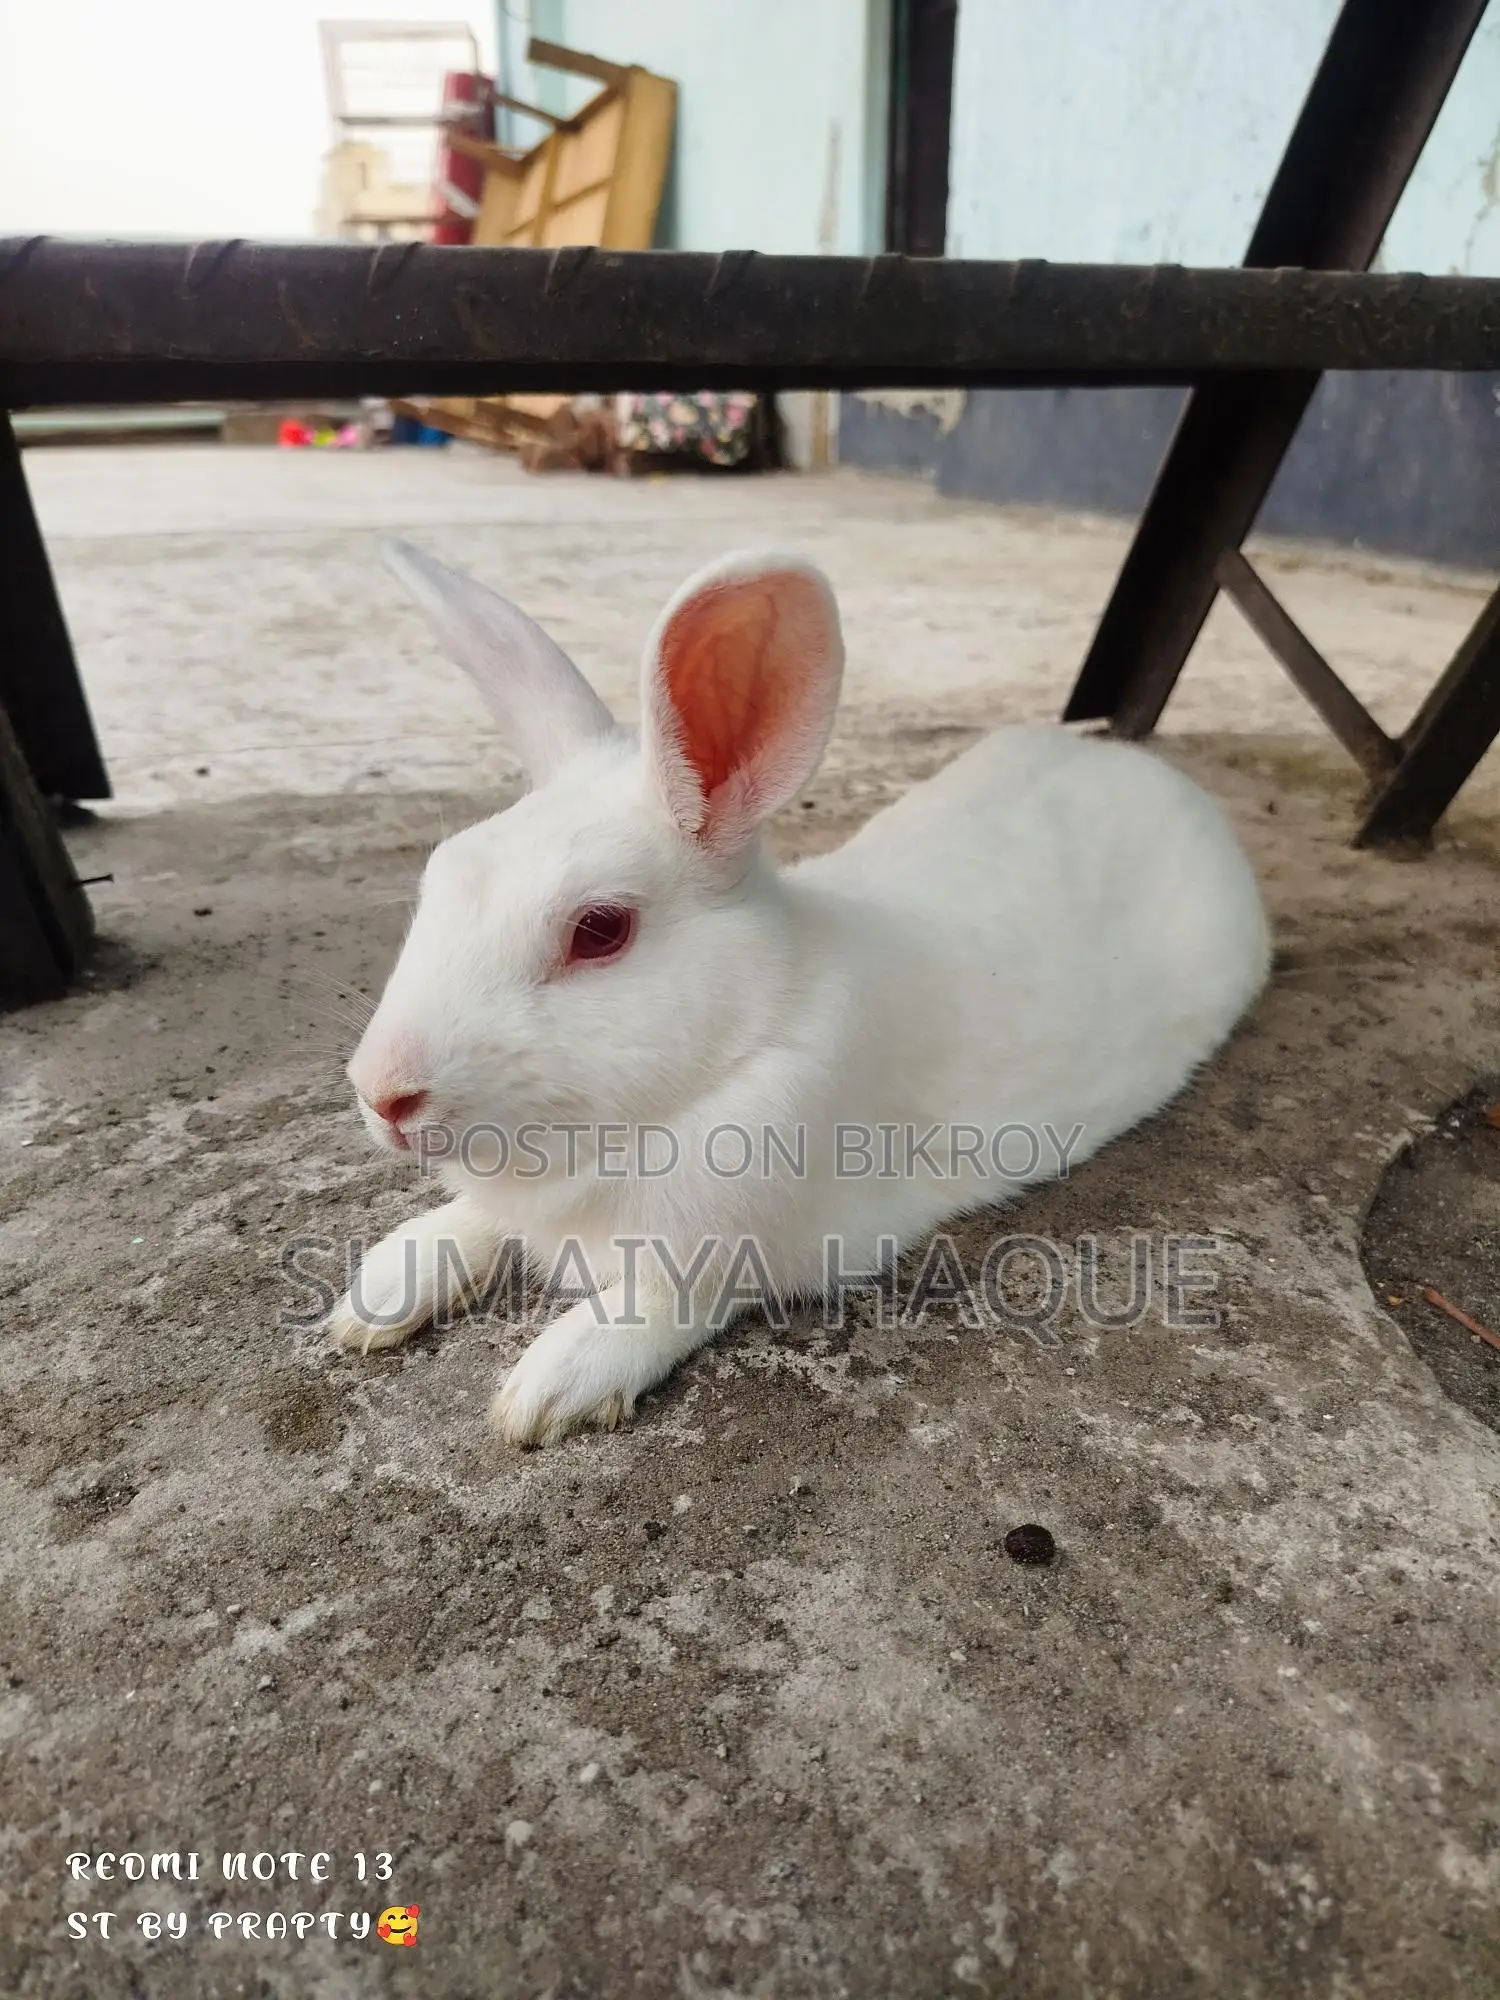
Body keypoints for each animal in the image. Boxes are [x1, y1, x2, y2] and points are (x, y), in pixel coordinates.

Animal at [326, 540, 1270, 1445]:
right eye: (438, 874)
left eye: (599, 930)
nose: (385, 1094)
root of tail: (1164, 781)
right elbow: (470, 1223)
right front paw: (377, 1296)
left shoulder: (723, 1252)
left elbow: (650, 1309)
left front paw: (548, 1391)